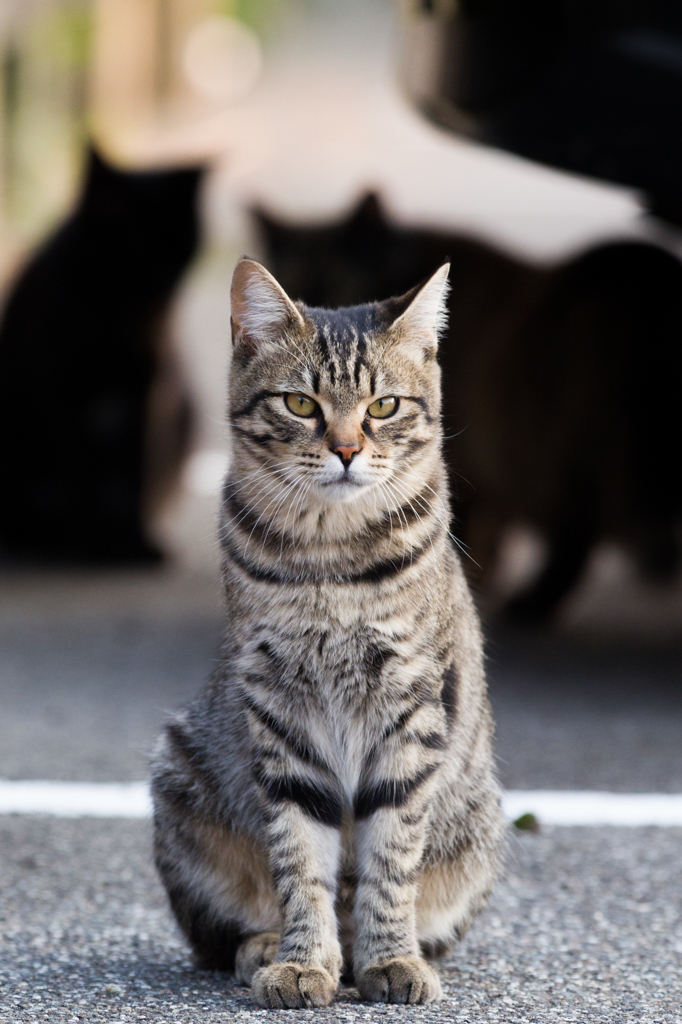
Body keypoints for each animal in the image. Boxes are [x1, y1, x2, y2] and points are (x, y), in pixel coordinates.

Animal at [0, 150, 202, 565]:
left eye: (182, 246)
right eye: (135, 245)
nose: (164, 283)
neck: (115, 313)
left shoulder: (149, 388)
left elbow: (137, 469)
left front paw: (134, 543)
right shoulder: (59, 390)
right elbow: (79, 472)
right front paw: (91, 545)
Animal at [151, 258, 501, 1007]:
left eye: (384, 407)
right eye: (300, 404)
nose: (345, 449)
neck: (329, 560)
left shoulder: (411, 711)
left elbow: (389, 859)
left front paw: (389, 959)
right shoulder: (281, 715)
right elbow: (300, 861)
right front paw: (305, 961)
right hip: (180, 778)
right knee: (224, 932)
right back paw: (265, 946)